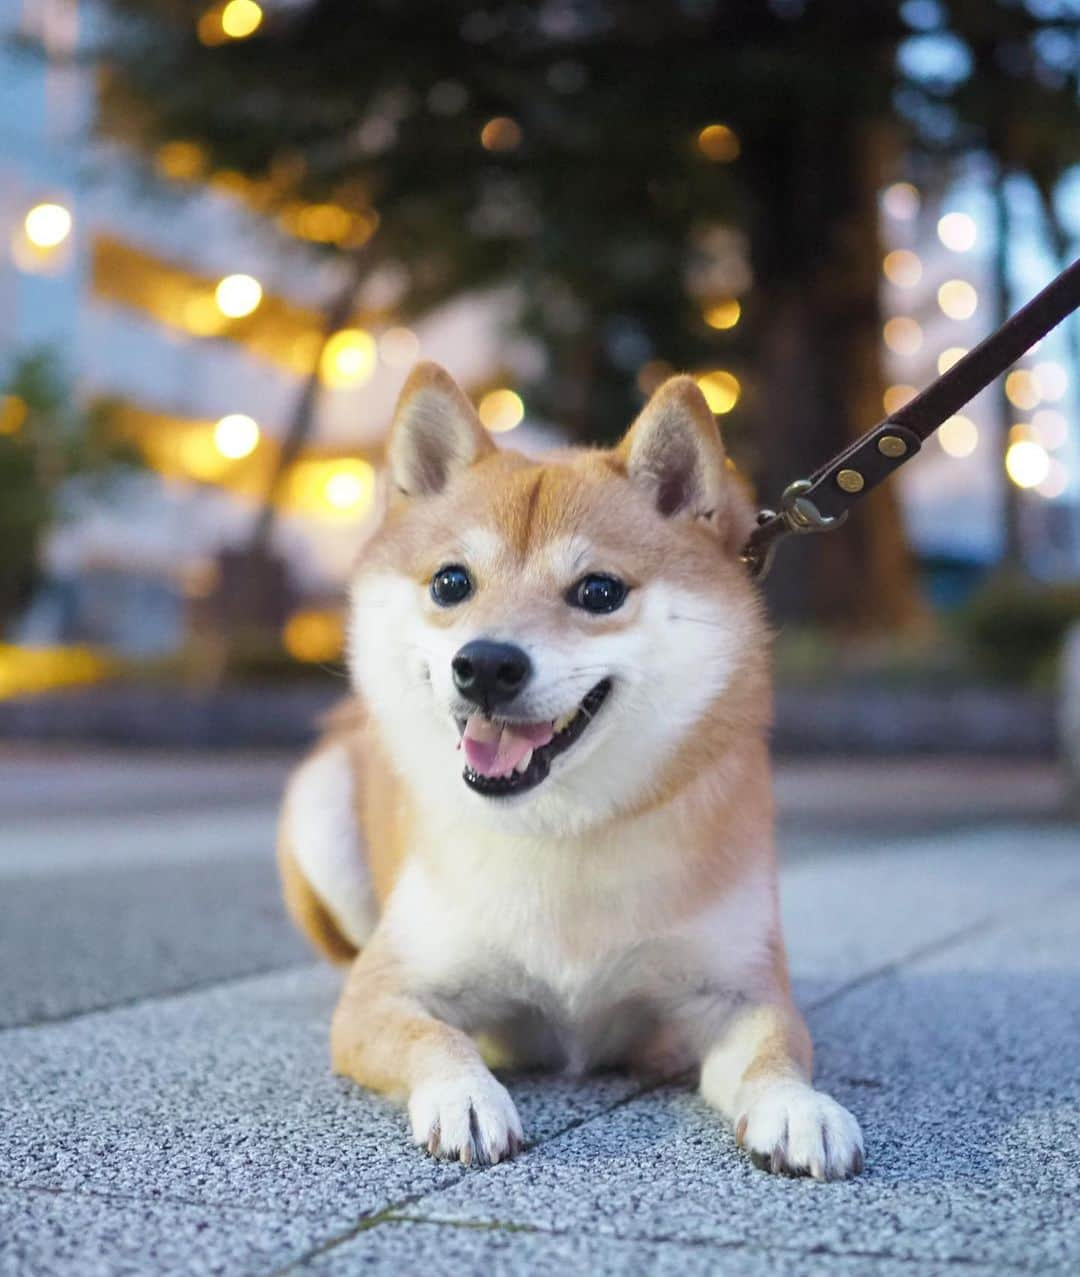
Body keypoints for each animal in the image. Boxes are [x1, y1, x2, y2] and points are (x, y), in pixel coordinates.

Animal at [277, 360, 862, 1174]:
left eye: (599, 591)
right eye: (451, 583)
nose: (486, 665)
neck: (559, 830)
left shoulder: (736, 990)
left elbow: (773, 1050)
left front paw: (797, 1108)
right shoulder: (386, 994)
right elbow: (436, 1036)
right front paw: (466, 1095)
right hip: (319, 805)